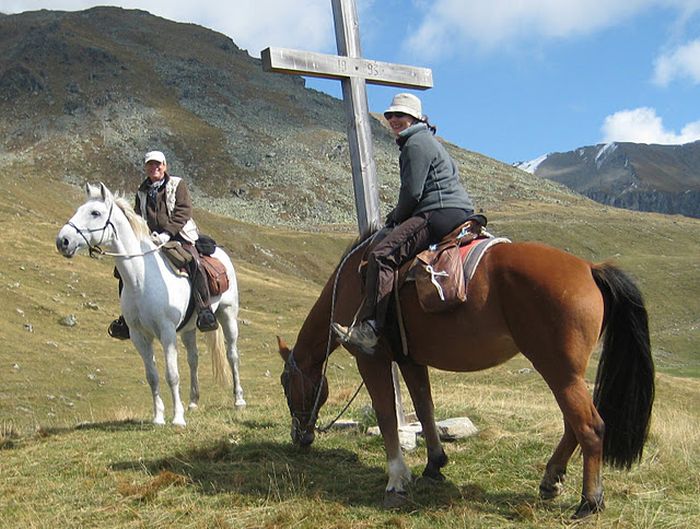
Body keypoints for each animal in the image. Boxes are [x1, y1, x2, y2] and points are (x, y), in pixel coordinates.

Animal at [56, 182, 246, 424]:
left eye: (95, 213)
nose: (63, 241)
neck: (141, 279)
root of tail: (220, 252)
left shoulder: (167, 332)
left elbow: (172, 375)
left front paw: (178, 418)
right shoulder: (139, 336)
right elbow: (152, 376)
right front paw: (158, 417)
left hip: (227, 314)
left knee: (232, 354)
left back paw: (238, 400)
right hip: (188, 329)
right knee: (193, 359)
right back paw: (193, 402)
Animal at [278, 233, 656, 516]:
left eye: (285, 384)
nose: (300, 436)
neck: (351, 284)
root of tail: (591, 268)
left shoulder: (372, 359)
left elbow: (386, 415)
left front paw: (397, 479)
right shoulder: (411, 360)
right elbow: (425, 408)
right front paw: (434, 464)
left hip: (558, 371)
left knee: (590, 427)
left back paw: (590, 501)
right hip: (565, 374)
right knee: (572, 425)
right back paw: (551, 479)